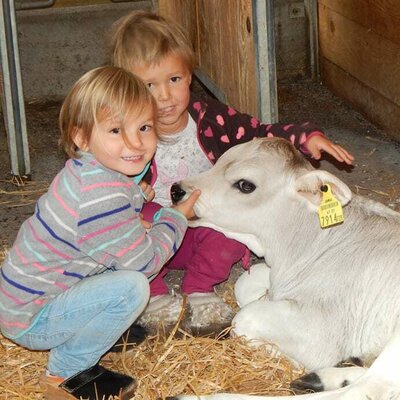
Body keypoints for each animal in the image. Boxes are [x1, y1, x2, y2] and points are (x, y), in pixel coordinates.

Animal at [170, 138, 400, 400]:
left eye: (245, 185)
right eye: (219, 161)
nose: (176, 190)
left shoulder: (322, 330)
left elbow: (244, 318)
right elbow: (245, 284)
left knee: (366, 388)